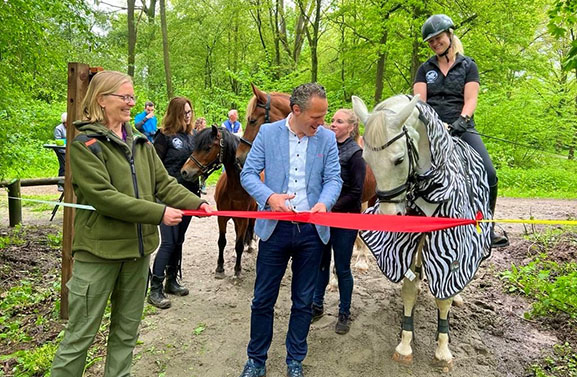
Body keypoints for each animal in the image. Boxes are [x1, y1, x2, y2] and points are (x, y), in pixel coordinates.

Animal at [179, 125, 253, 278]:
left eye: (207, 148)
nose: (184, 171)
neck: (235, 188)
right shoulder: (222, 217)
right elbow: (222, 242)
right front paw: (220, 267)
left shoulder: (243, 219)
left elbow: (239, 244)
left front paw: (237, 269)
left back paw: (250, 245)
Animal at [352, 94, 490, 370]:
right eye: (368, 162)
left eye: (399, 160)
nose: (390, 219)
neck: (432, 189)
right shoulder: (406, 244)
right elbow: (409, 287)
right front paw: (405, 342)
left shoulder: (452, 246)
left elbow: (444, 296)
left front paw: (443, 349)